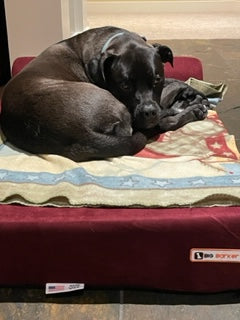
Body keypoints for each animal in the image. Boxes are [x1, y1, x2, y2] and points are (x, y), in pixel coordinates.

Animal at [0, 26, 208, 161]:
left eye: (157, 79)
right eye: (124, 85)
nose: (149, 112)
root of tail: (82, 135)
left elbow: (172, 81)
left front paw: (190, 92)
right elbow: (168, 97)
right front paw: (187, 97)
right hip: (116, 106)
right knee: (165, 122)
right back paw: (190, 109)